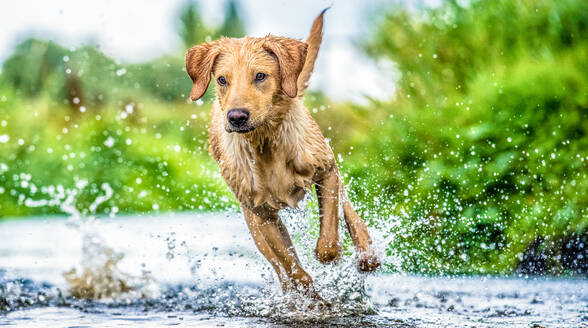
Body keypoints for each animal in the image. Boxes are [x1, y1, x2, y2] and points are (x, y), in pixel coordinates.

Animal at [185, 9, 382, 300]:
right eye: (222, 79)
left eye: (260, 76)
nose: (236, 117)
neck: (266, 142)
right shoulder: (261, 214)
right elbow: (290, 266)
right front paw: (306, 293)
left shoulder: (326, 170)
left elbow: (329, 234)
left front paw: (331, 254)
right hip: (253, 223)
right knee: (280, 266)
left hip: (328, 160)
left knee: (348, 210)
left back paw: (367, 254)